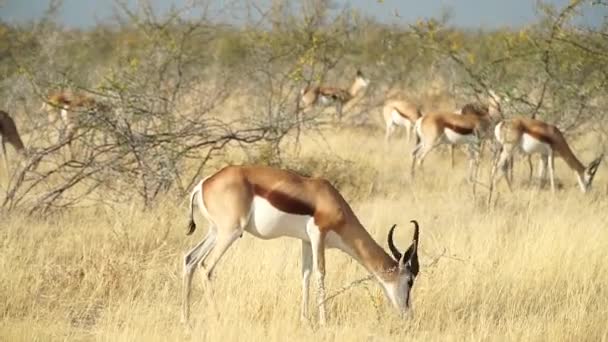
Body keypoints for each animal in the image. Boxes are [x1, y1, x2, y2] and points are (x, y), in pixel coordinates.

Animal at [182, 166, 418, 326]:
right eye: (409, 281)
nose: (408, 314)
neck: (329, 200)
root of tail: (204, 184)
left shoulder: (305, 240)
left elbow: (305, 274)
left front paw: (305, 319)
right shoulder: (318, 235)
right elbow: (320, 274)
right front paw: (324, 322)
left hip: (215, 231)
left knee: (190, 259)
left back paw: (187, 320)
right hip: (230, 232)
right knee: (206, 266)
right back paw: (217, 317)